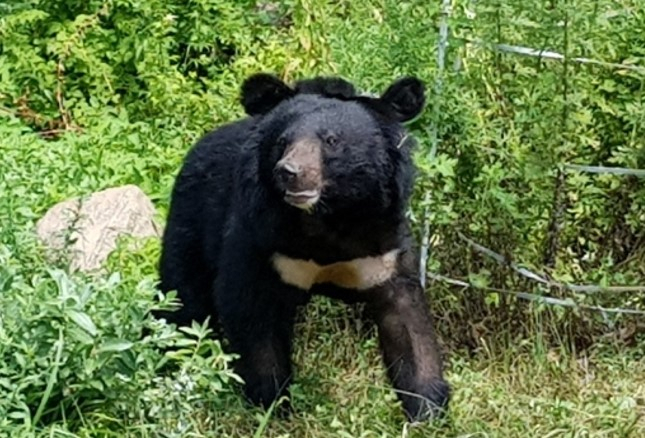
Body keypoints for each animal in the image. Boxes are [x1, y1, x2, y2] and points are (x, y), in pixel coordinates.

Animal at [156, 73, 448, 422]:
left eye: (332, 140)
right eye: (283, 142)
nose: (289, 172)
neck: (328, 218)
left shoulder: (383, 245)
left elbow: (407, 321)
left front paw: (427, 409)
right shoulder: (261, 237)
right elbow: (252, 313)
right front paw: (272, 404)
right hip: (191, 223)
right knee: (183, 301)